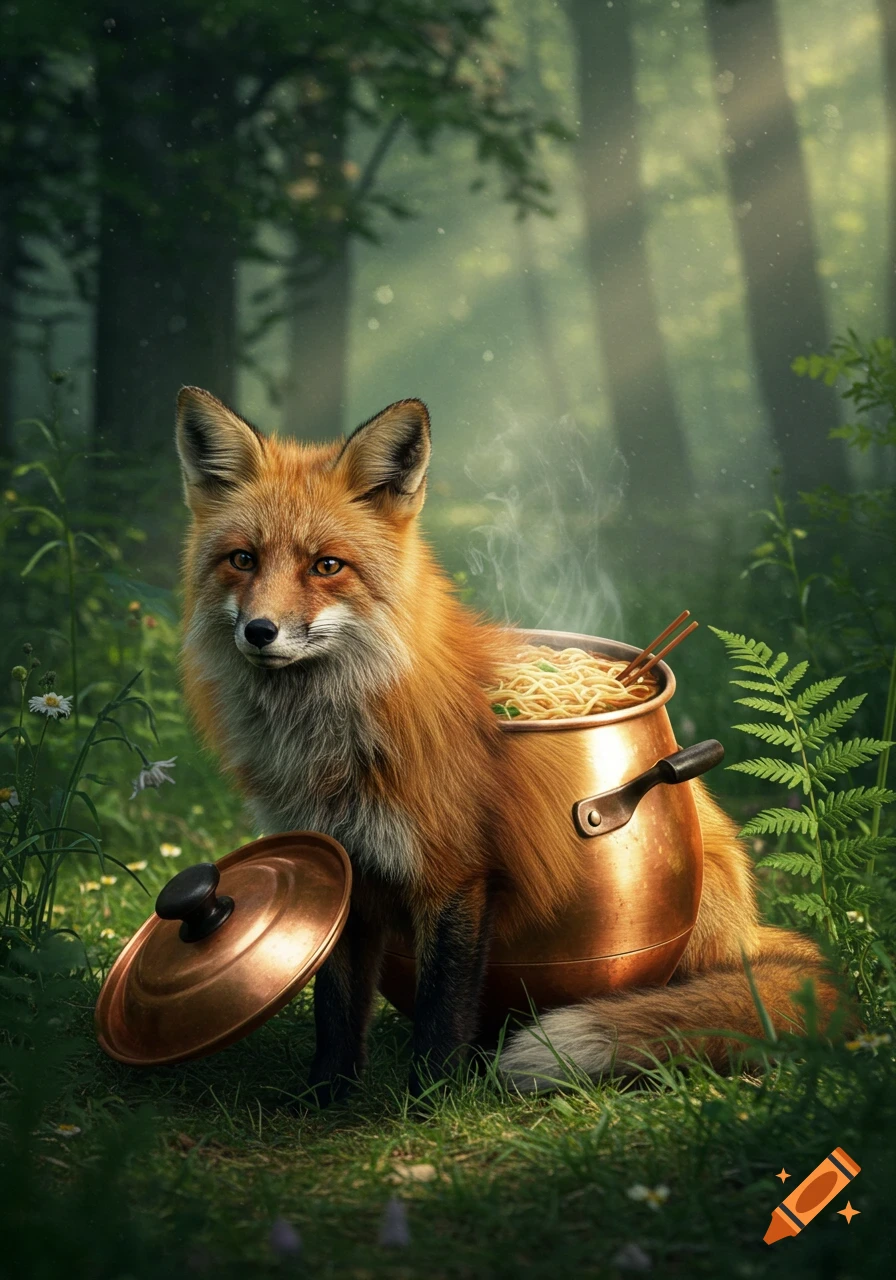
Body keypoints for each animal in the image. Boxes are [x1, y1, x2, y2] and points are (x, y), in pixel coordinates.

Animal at [175, 384, 840, 1099]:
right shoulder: (336, 866)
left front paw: (429, 1101)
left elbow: (442, 1010)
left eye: (327, 566)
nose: (260, 631)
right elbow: (336, 1005)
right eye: (243, 559)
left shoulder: (454, 873)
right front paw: (325, 1097)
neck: (333, 745)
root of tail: (754, 931)